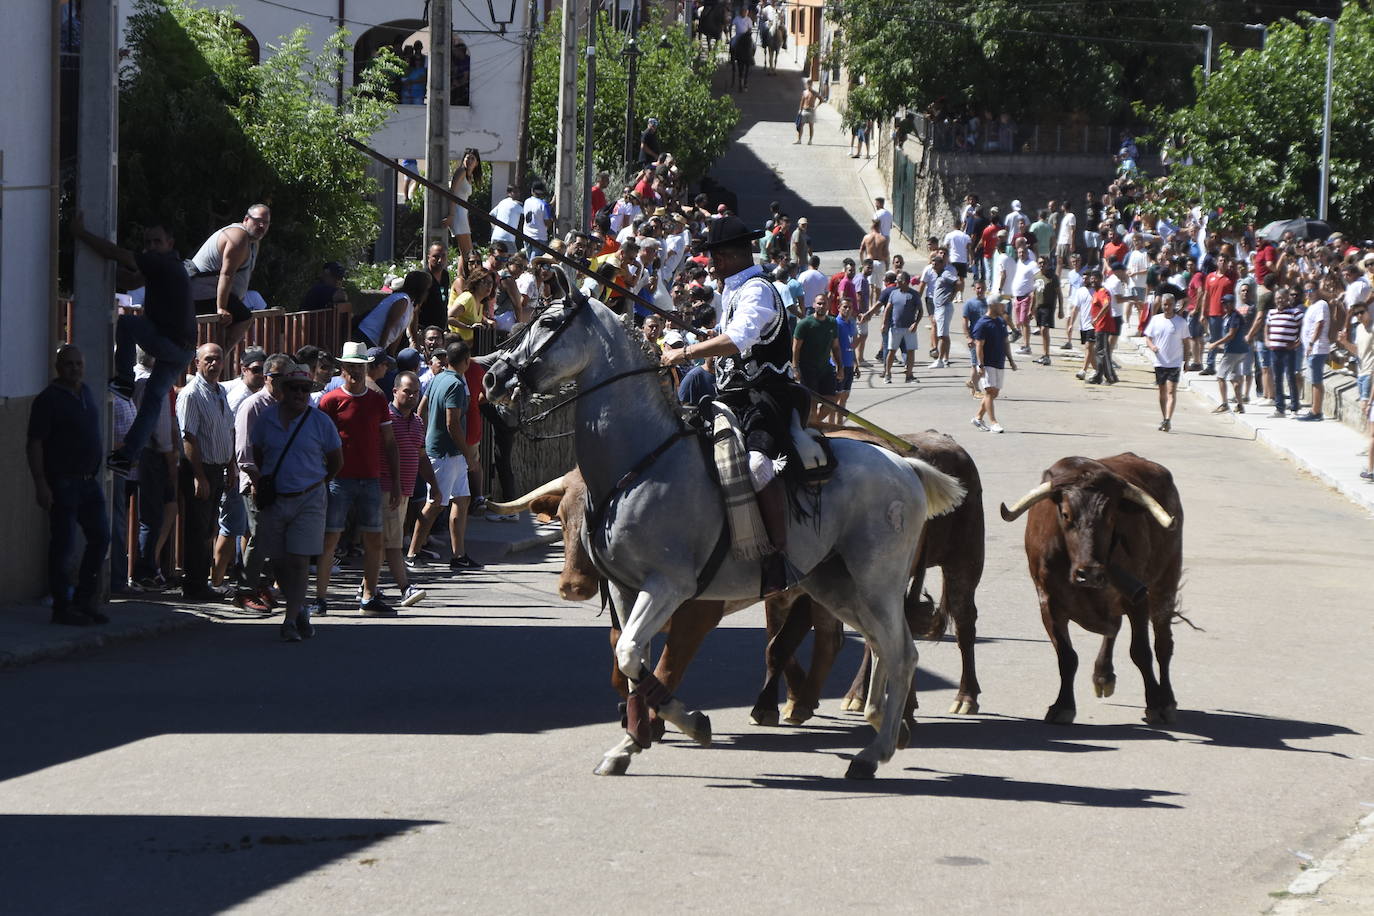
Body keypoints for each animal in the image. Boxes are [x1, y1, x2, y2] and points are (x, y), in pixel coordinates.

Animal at [1000, 455, 1181, 725]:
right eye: (1065, 514)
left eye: (1112, 517)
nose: (1091, 573)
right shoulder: (1048, 601)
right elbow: (1067, 657)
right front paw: (1063, 706)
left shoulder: (1138, 598)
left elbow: (1141, 652)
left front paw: (1155, 703)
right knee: (1114, 629)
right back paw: (1103, 675)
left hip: (1165, 583)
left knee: (1162, 644)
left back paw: (1167, 699)